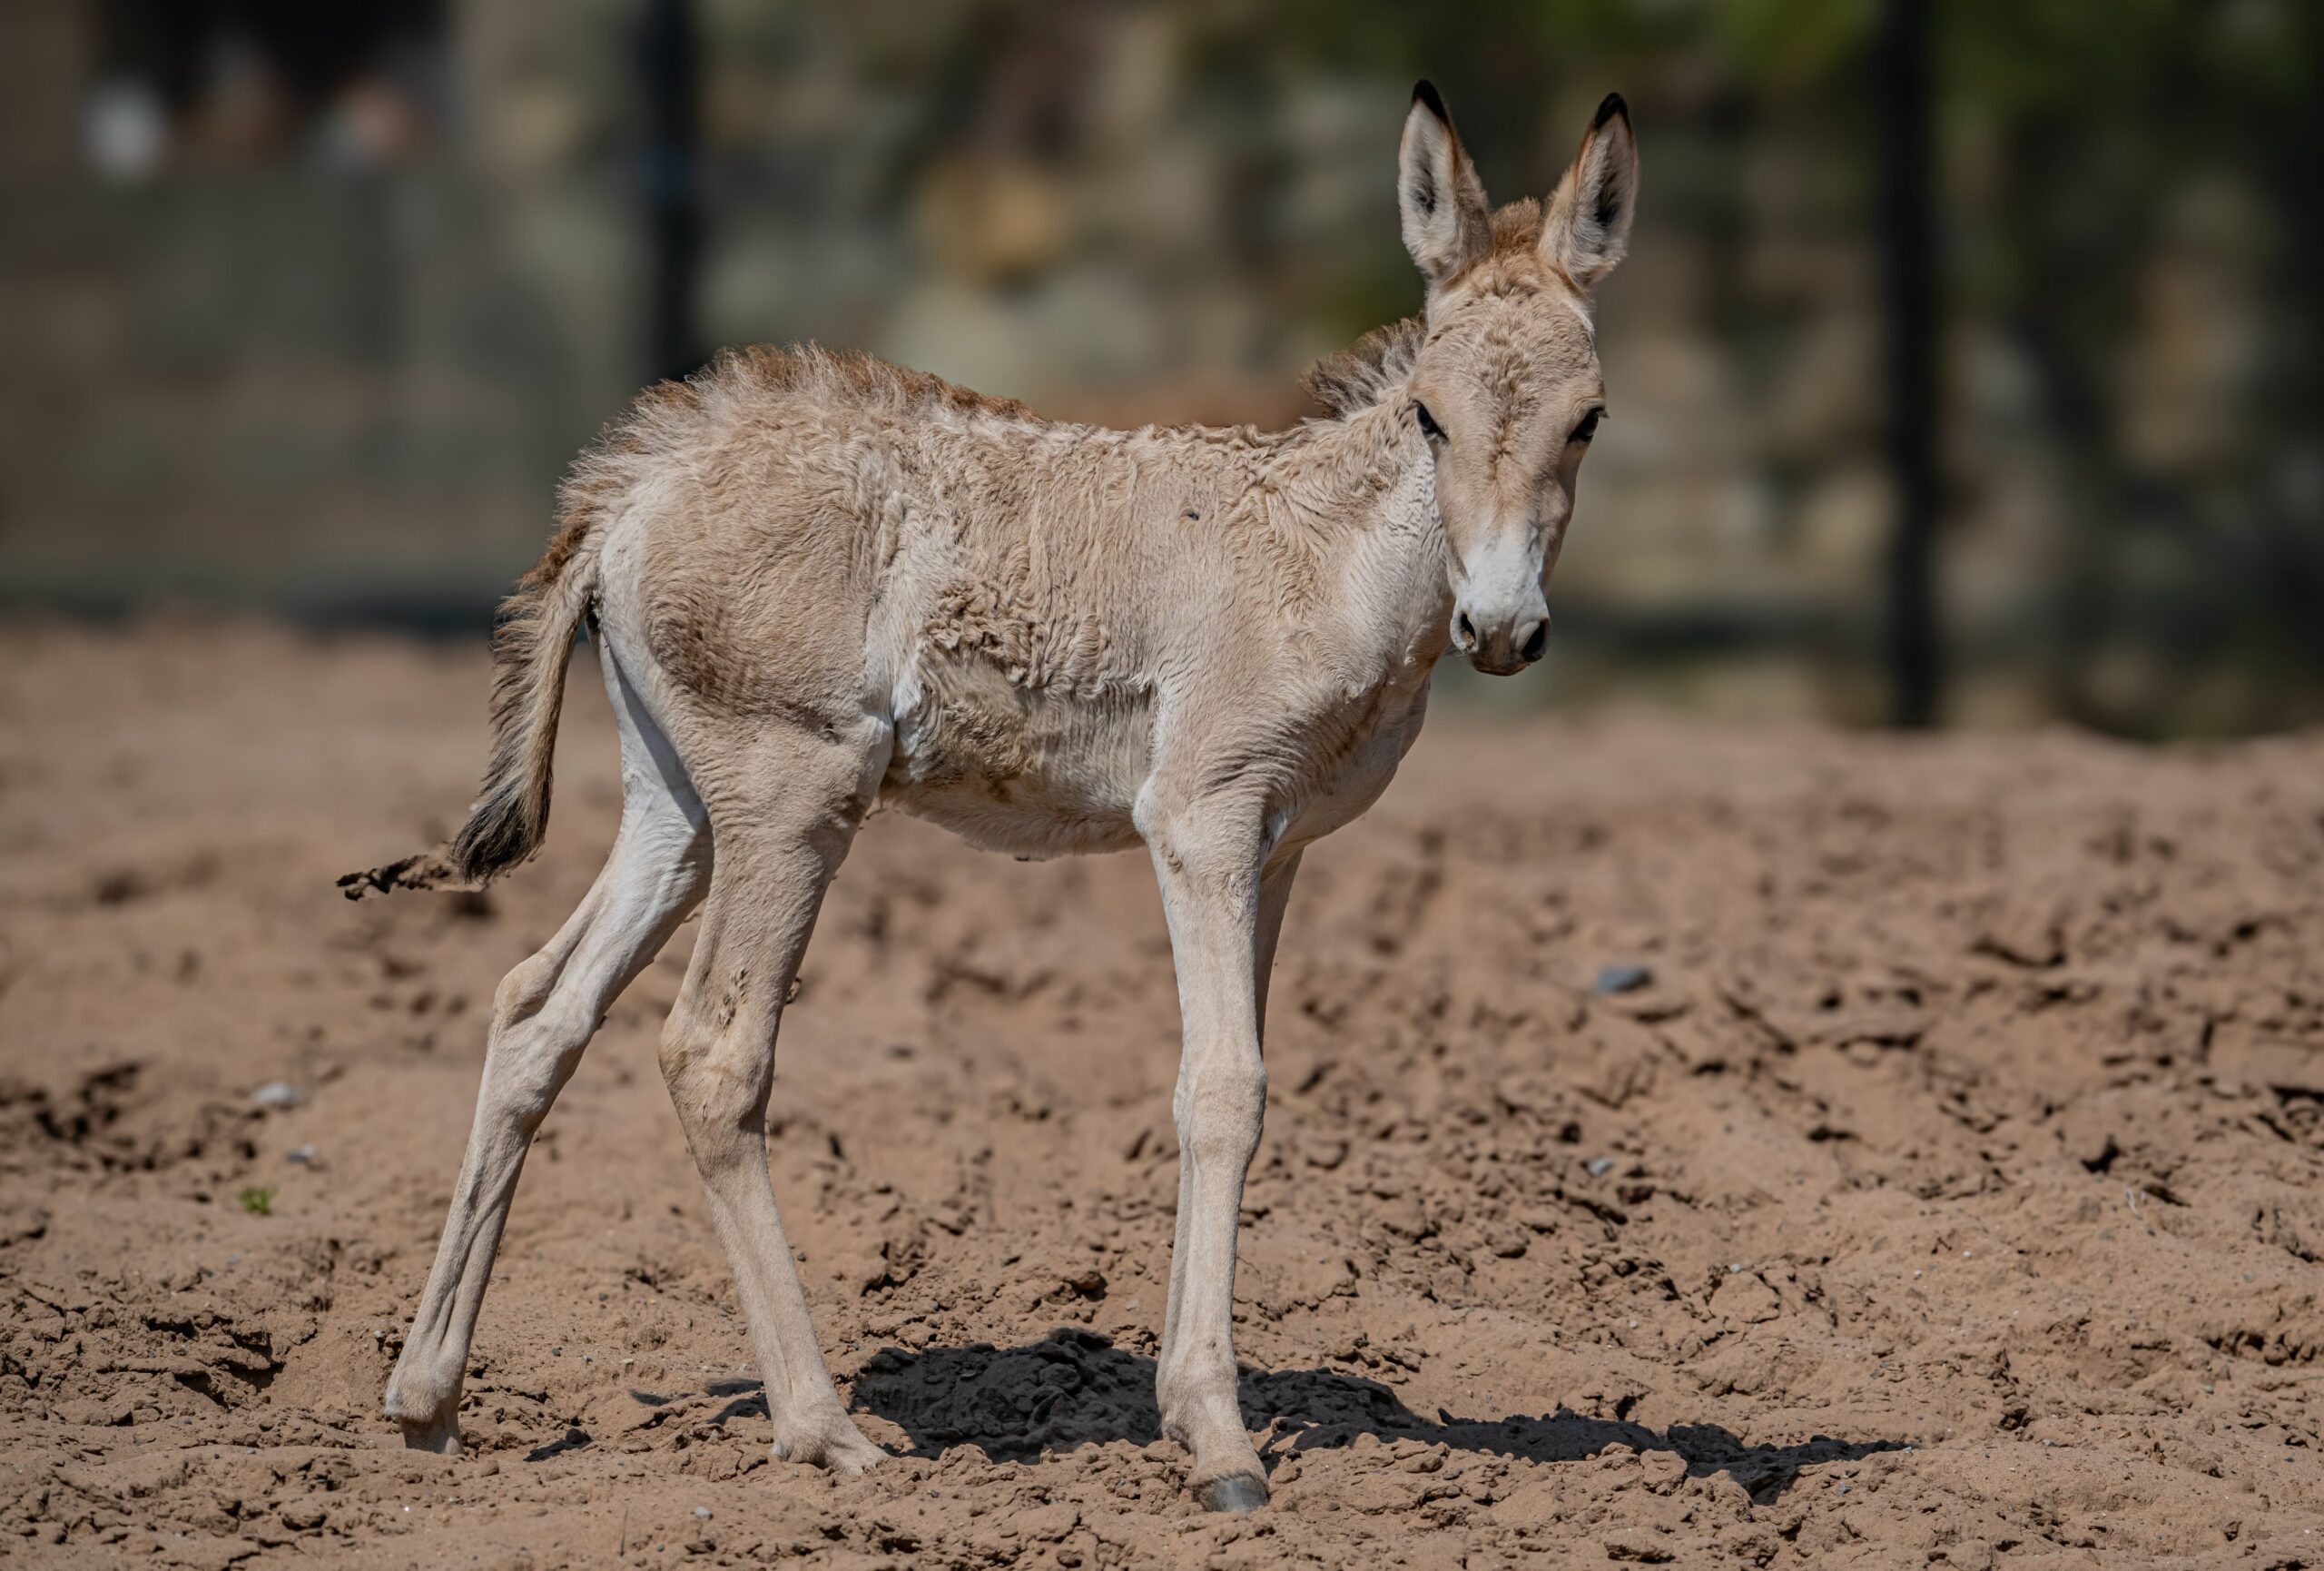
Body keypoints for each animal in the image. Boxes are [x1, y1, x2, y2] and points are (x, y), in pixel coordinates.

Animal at [353, 85, 1645, 1506]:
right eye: (1428, 414)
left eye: (1586, 418)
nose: (1503, 629)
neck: (1328, 557)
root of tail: (634, 481)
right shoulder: (1199, 823)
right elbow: (1223, 1086)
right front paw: (1222, 1442)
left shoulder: (1278, 846)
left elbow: (1225, 1082)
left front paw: (1187, 1409)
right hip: (795, 796)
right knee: (712, 1052)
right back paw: (822, 1428)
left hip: (680, 810)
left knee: (539, 1007)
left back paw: (427, 1402)